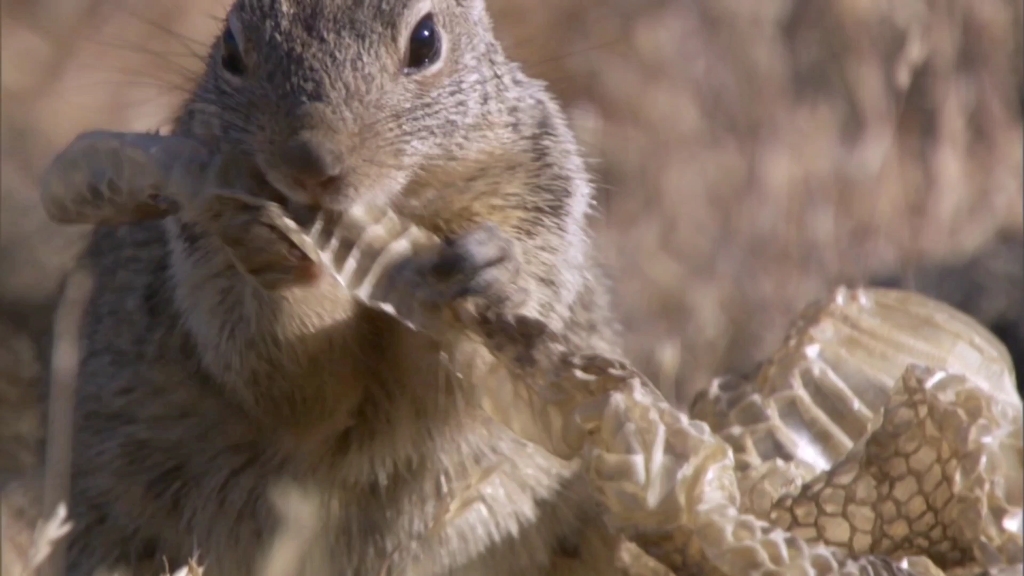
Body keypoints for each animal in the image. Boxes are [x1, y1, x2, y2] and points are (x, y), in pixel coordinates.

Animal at [64, 1, 626, 573]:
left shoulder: (530, 193)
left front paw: (493, 263)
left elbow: (464, 387)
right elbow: (288, 383)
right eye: (231, 50)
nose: (308, 163)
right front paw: (270, 250)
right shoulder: (205, 263)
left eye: (426, 42)